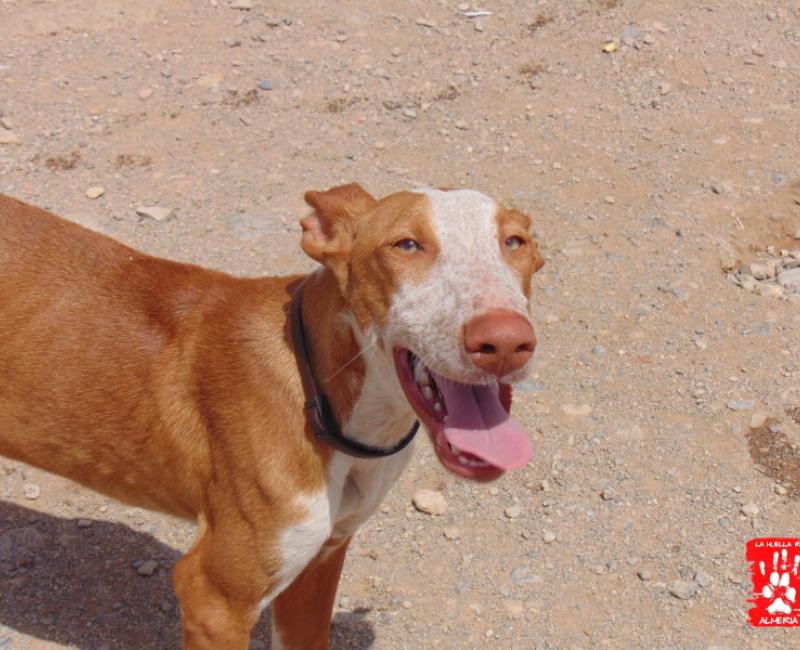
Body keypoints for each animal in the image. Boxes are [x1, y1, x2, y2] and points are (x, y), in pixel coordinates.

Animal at [0, 184, 544, 649]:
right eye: (406, 244)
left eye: (514, 241)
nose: (505, 341)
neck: (323, 397)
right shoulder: (214, 599)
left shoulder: (322, 558)